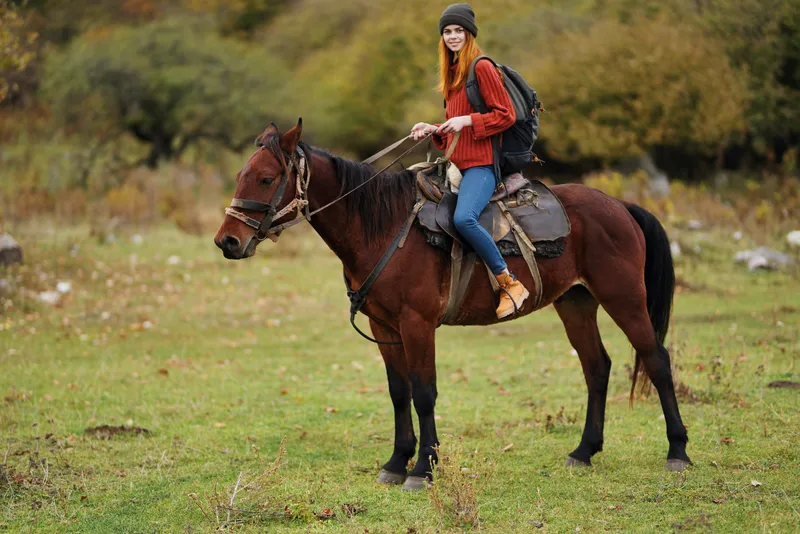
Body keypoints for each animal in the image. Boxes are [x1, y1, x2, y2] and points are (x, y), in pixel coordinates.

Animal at [214, 120, 692, 491]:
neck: (384, 227)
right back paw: (584, 450)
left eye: (265, 178)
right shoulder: (385, 327)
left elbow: (424, 393)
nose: (227, 242)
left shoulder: (417, 324)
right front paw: (396, 462)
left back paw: (678, 451)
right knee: (597, 367)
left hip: (624, 298)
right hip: (576, 303)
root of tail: (621, 206)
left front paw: (423, 469)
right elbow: (398, 392)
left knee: (656, 360)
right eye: (241, 173)